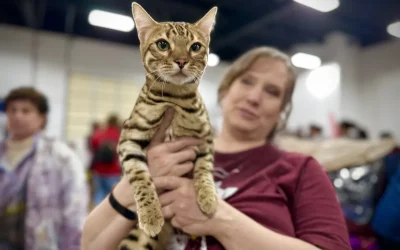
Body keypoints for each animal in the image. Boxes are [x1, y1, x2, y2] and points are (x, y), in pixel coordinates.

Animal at [117, 2, 219, 250]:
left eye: (195, 47)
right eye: (163, 44)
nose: (181, 61)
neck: (175, 99)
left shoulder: (206, 139)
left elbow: (204, 169)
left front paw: (208, 199)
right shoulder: (129, 139)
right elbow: (140, 178)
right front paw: (151, 215)